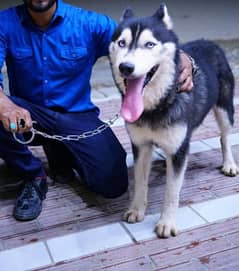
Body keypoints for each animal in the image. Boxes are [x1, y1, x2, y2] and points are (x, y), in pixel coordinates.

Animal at [109, 3, 239, 238]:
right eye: (121, 43)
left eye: (149, 44)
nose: (126, 67)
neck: (155, 107)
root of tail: (209, 41)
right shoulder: (141, 145)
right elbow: (140, 182)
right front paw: (136, 209)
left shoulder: (178, 152)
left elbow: (172, 191)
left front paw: (167, 222)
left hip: (225, 110)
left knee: (225, 137)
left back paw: (229, 163)